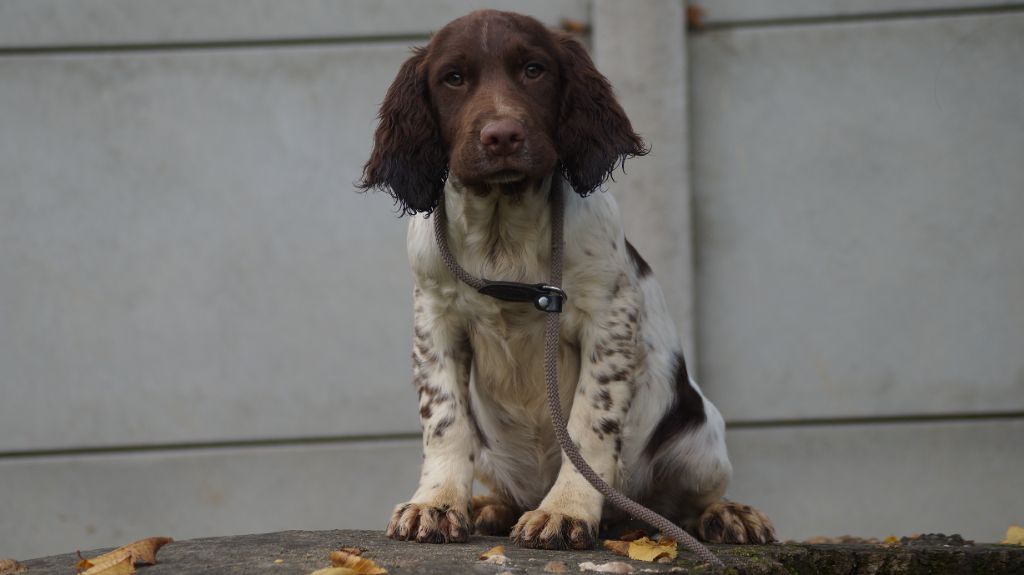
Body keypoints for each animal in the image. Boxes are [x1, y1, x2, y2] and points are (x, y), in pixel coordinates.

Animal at [360, 7, 774, 544]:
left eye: (533, 70)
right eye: (452, 78)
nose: (502, 136)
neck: (503, 230)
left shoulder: (609, 316)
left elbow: (588, 426)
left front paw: (566, 510)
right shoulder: (434, 318)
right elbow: (445, 420)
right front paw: (435, 504)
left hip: (700, 440)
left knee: (682, 504)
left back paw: (727, 513)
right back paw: (491, 506)